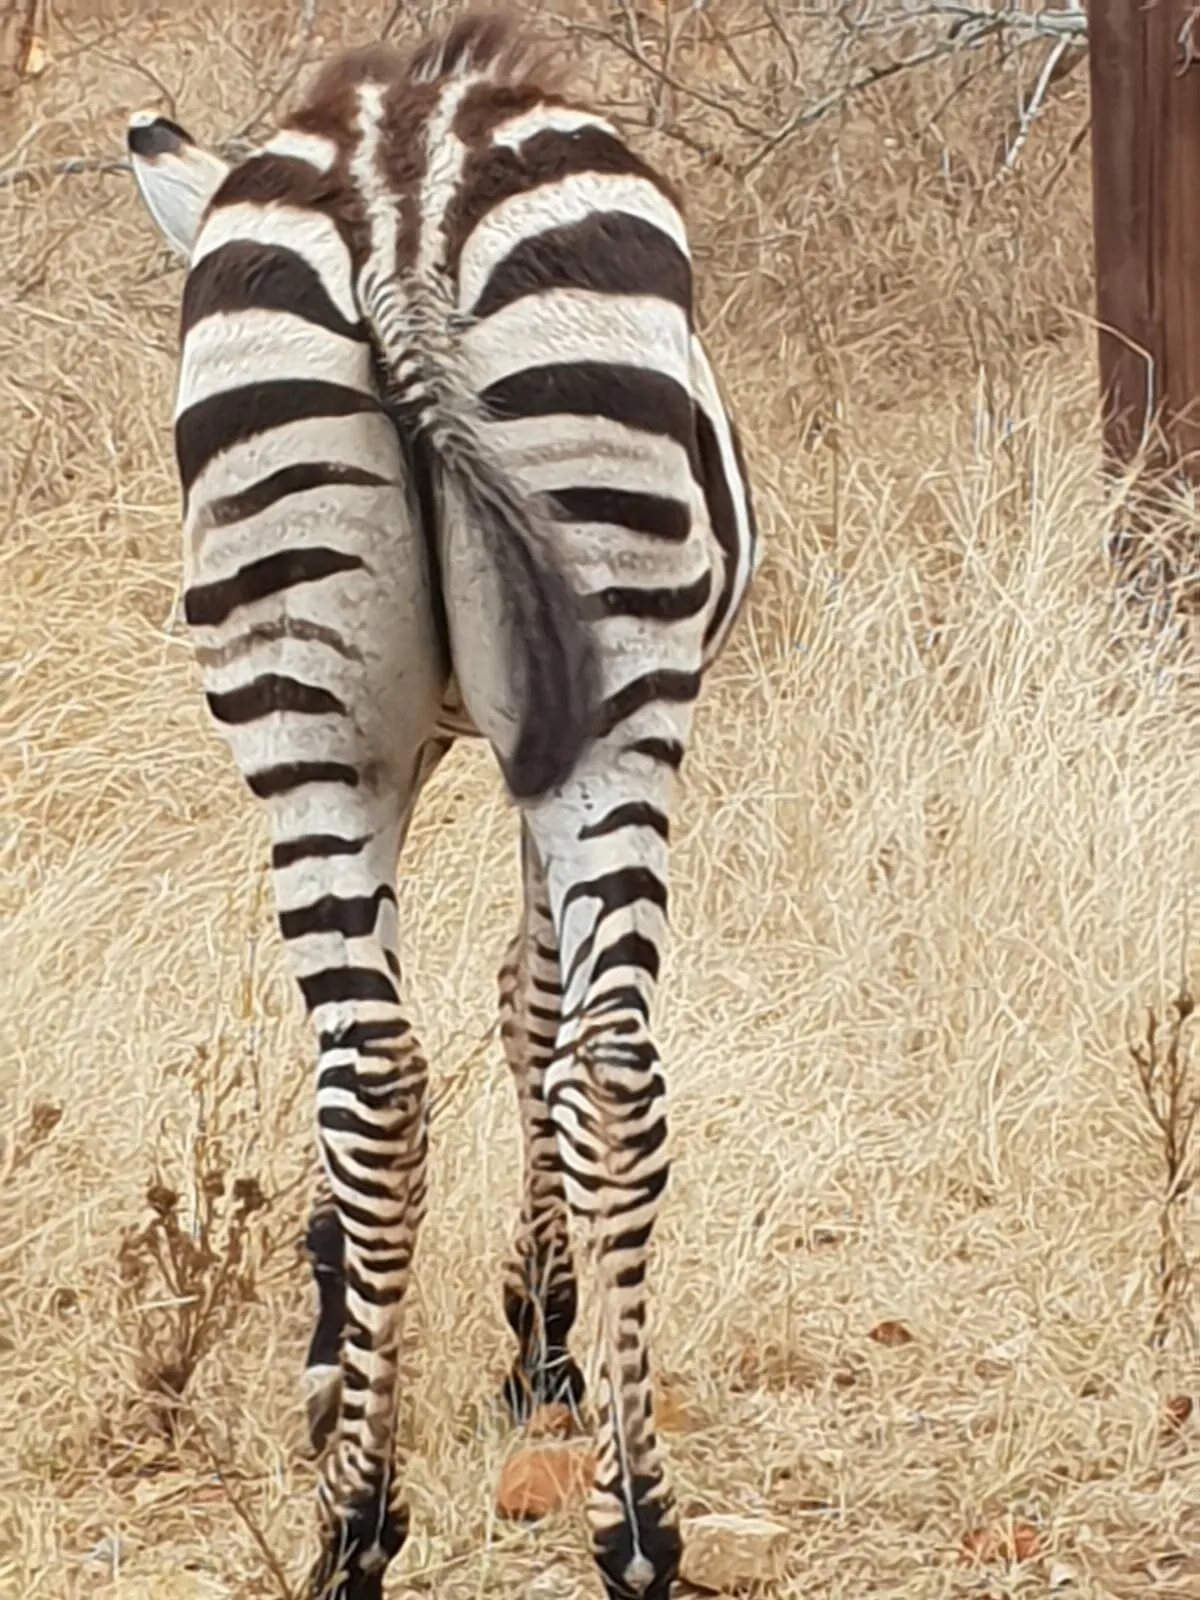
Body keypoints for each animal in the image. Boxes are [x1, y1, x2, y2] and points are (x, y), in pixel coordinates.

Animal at [124, 12, 758, 1599]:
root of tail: (400, 193)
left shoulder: (425, 744)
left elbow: (452, 1025)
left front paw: (336, 1341)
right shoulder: (506, 740)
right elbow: (528, 1008)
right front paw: (531, 1347)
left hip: (320, 706)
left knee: (387, 1075)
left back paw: (360, 1519)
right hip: (610, 688)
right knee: (594, 1063)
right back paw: (631, 1524)